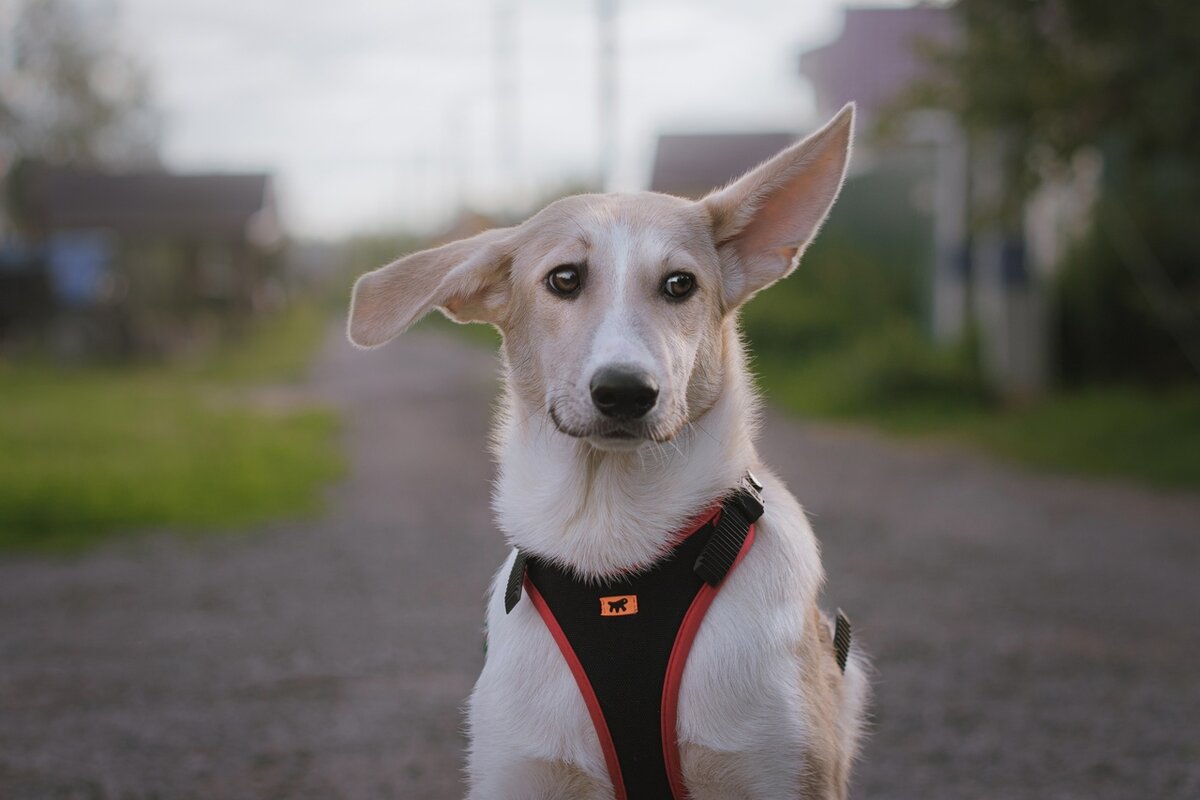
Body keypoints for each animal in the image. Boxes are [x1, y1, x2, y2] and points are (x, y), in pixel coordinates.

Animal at [348, 106, 864, 800]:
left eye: (680, 284)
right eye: (564, 278)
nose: (625, 391)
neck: (608, 531)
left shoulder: (776, 768)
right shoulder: (521, 771)